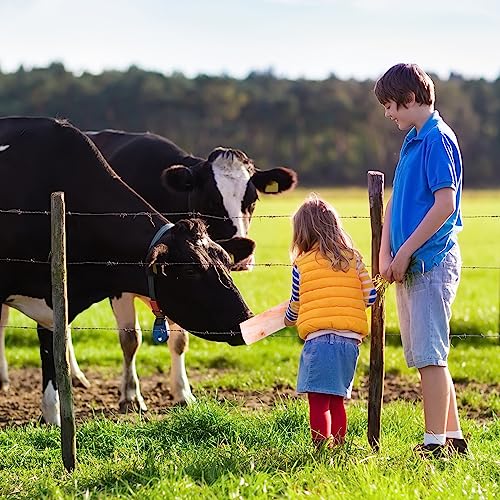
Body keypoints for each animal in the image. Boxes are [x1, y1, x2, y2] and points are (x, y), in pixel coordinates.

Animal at [0, 115, 254, 424]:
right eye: (190, 270)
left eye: (225, 262)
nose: (248, 321)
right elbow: (127, 338)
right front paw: (128, 398)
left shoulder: (56, 296)